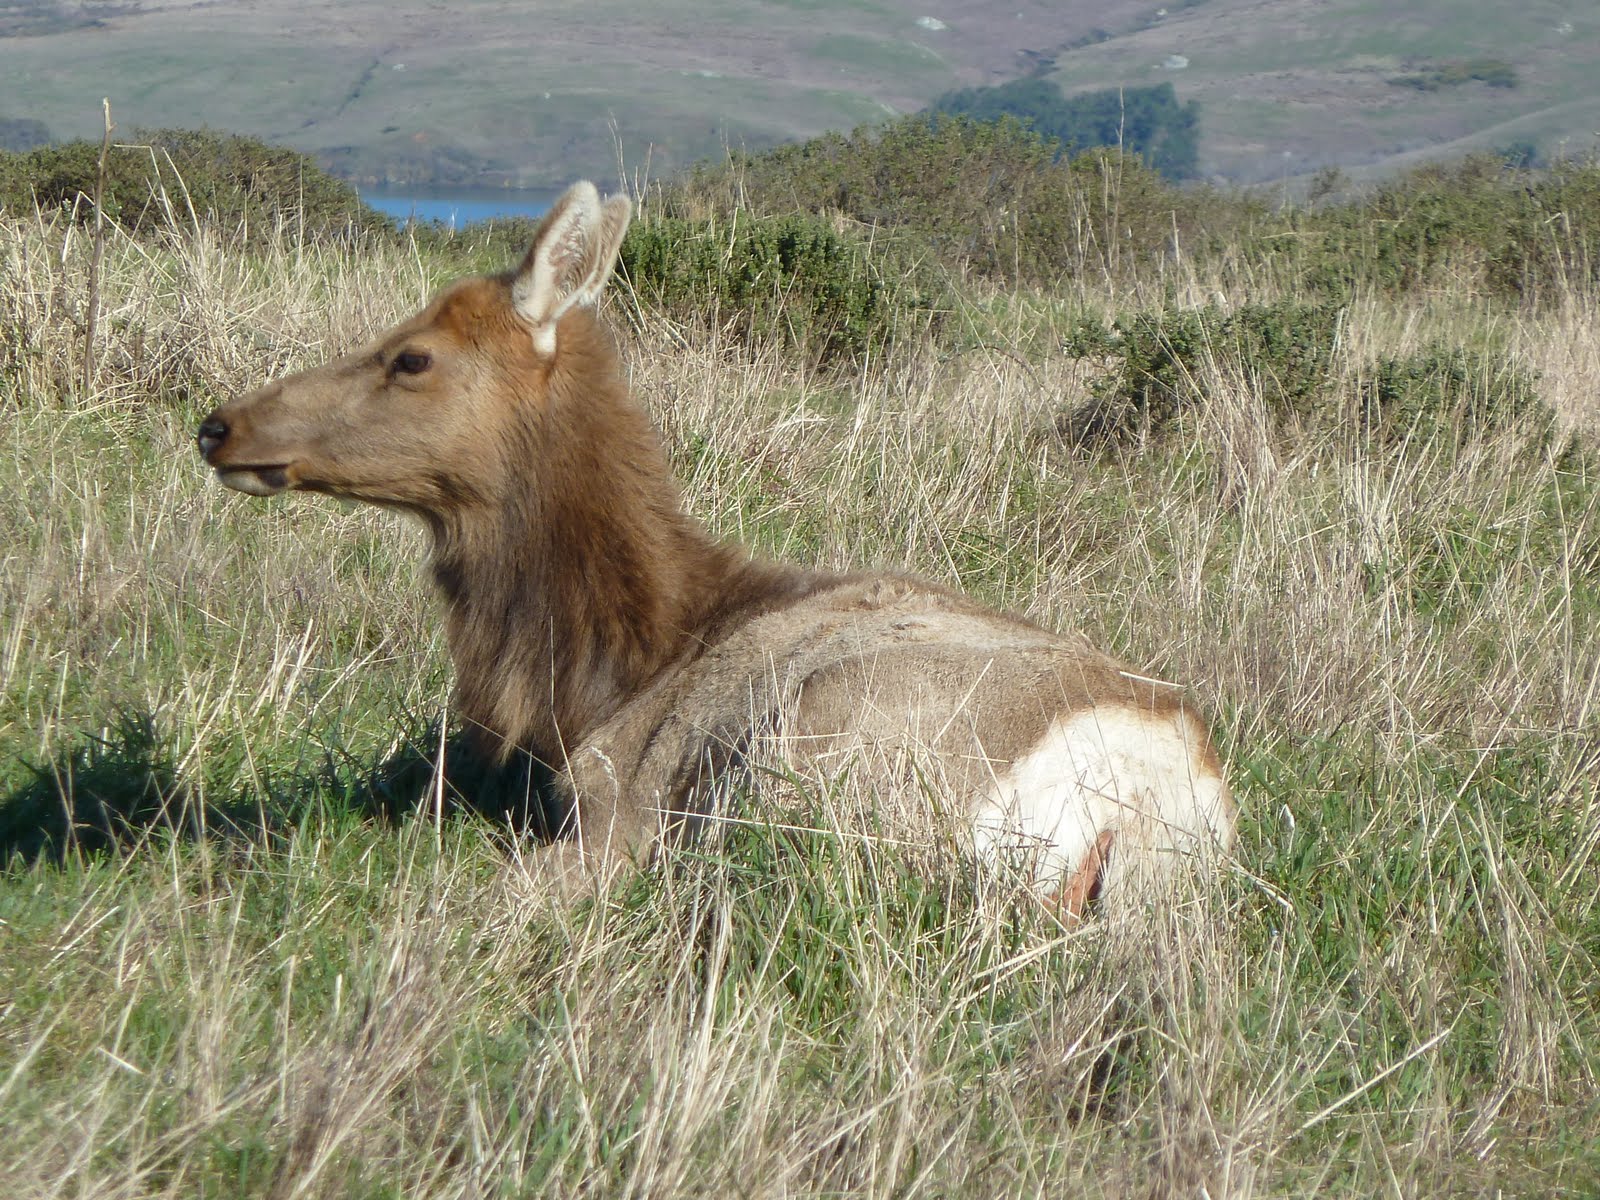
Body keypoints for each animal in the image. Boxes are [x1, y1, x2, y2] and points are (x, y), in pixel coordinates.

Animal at [197, 181, 1235, 918]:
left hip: (813, 768)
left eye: (411, 357)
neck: (599, 677)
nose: (221, 425)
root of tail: (1141, 799)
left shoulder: (613, 810)